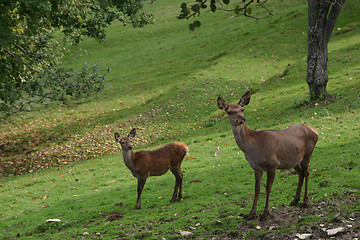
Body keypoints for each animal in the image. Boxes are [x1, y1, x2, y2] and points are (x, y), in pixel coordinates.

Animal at [217, 91, 318, 220]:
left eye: (242, 109)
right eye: (229, 111)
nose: (242, 118)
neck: (252, 146)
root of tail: (315, 131)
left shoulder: (273, 165)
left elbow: (268, 189)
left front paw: (265, 214)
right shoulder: (256, 168)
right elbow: (256, 189)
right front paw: (251, 214)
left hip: (307, 154)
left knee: (307, 172)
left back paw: (305, 202)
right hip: (293, 160)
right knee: (301, 173)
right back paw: (295, 200)